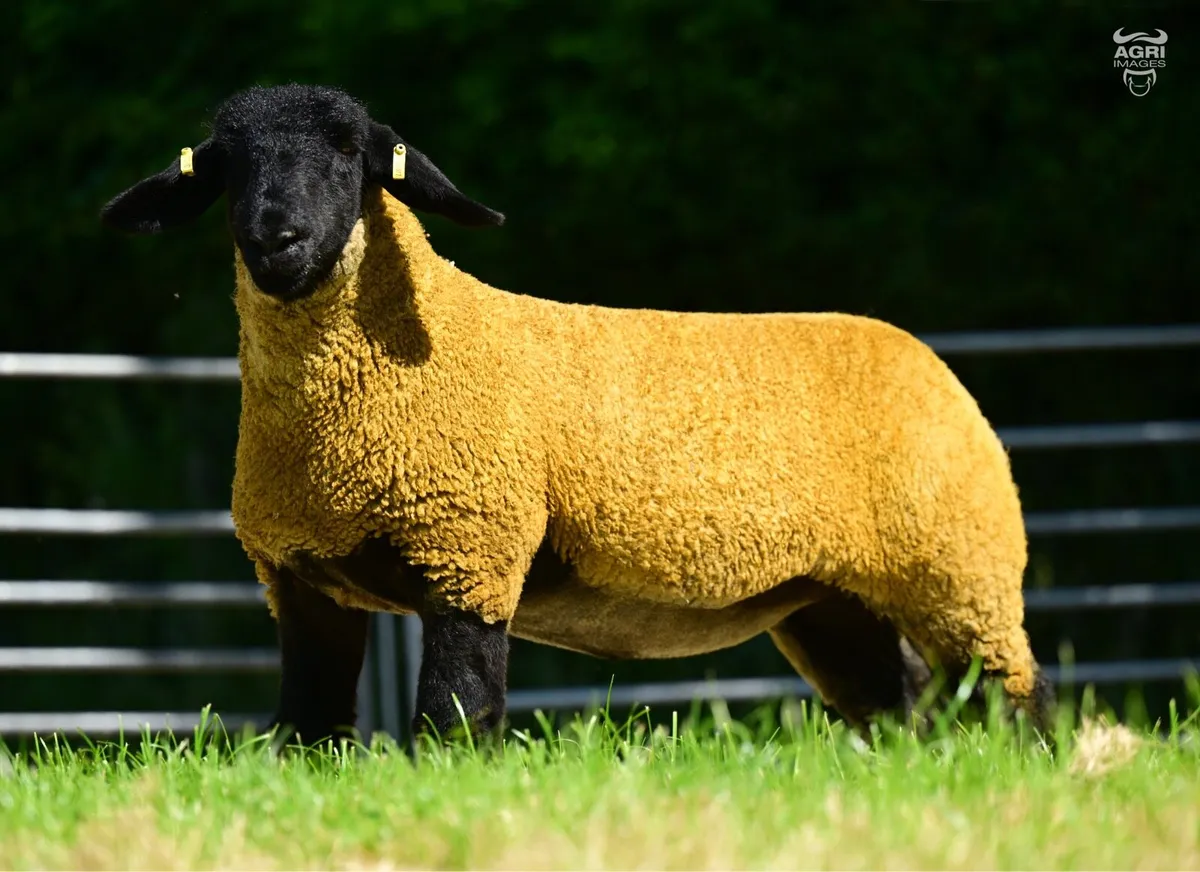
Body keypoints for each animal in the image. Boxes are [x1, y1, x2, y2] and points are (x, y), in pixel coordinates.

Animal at [100, 83, 1053, 745]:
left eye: (350, 153)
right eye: (226, 163)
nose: (277, 240)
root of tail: (926, 359)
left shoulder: (471, 552)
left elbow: (456, 720)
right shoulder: (301, 583)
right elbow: (307, 730)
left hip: (958, 566)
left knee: (1019, 697)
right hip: (835, 598)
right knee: (905, 712)